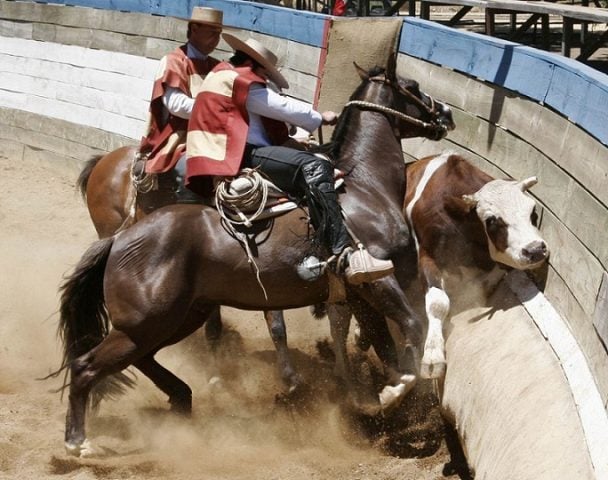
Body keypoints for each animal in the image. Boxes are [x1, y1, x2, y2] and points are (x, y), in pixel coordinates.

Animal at [59, 61, 454, 458]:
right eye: (412, 86)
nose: (446, 114)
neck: (366, 189)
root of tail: (120, 240)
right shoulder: (379, 280)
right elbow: (411, 329)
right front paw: (391, 393)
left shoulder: (359, 294)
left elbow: (384, 343)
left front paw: (377, 400)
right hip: (147, 321)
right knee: (86, 365)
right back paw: (79, 442)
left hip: (178, 317)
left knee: (144, 357)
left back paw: (182, 397)